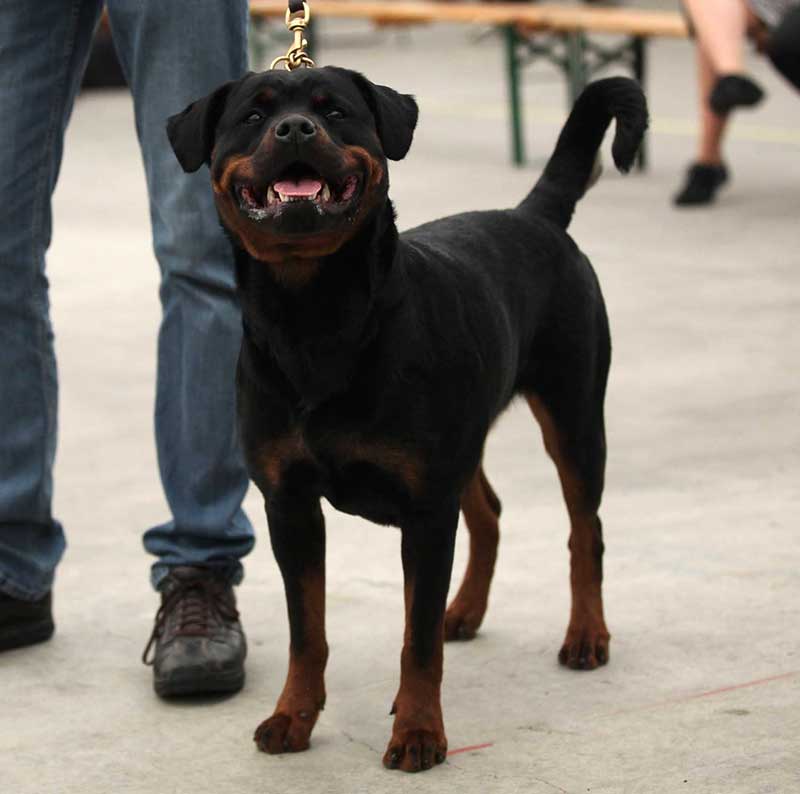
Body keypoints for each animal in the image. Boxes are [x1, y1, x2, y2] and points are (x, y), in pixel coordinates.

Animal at [166, 65, 648, 772]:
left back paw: (586, 634)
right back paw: (465, 609)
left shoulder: (424, 509)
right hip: (469, 438)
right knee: (489, 511)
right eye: (252, 118)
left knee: (584, 529)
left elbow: (416, 640)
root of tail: (533, 215)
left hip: (574, 412)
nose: (294, 129)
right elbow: (307, 631)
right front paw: (292, 716)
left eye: (334, 111)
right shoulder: (290, 506)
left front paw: (419, 732)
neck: (315, 318)